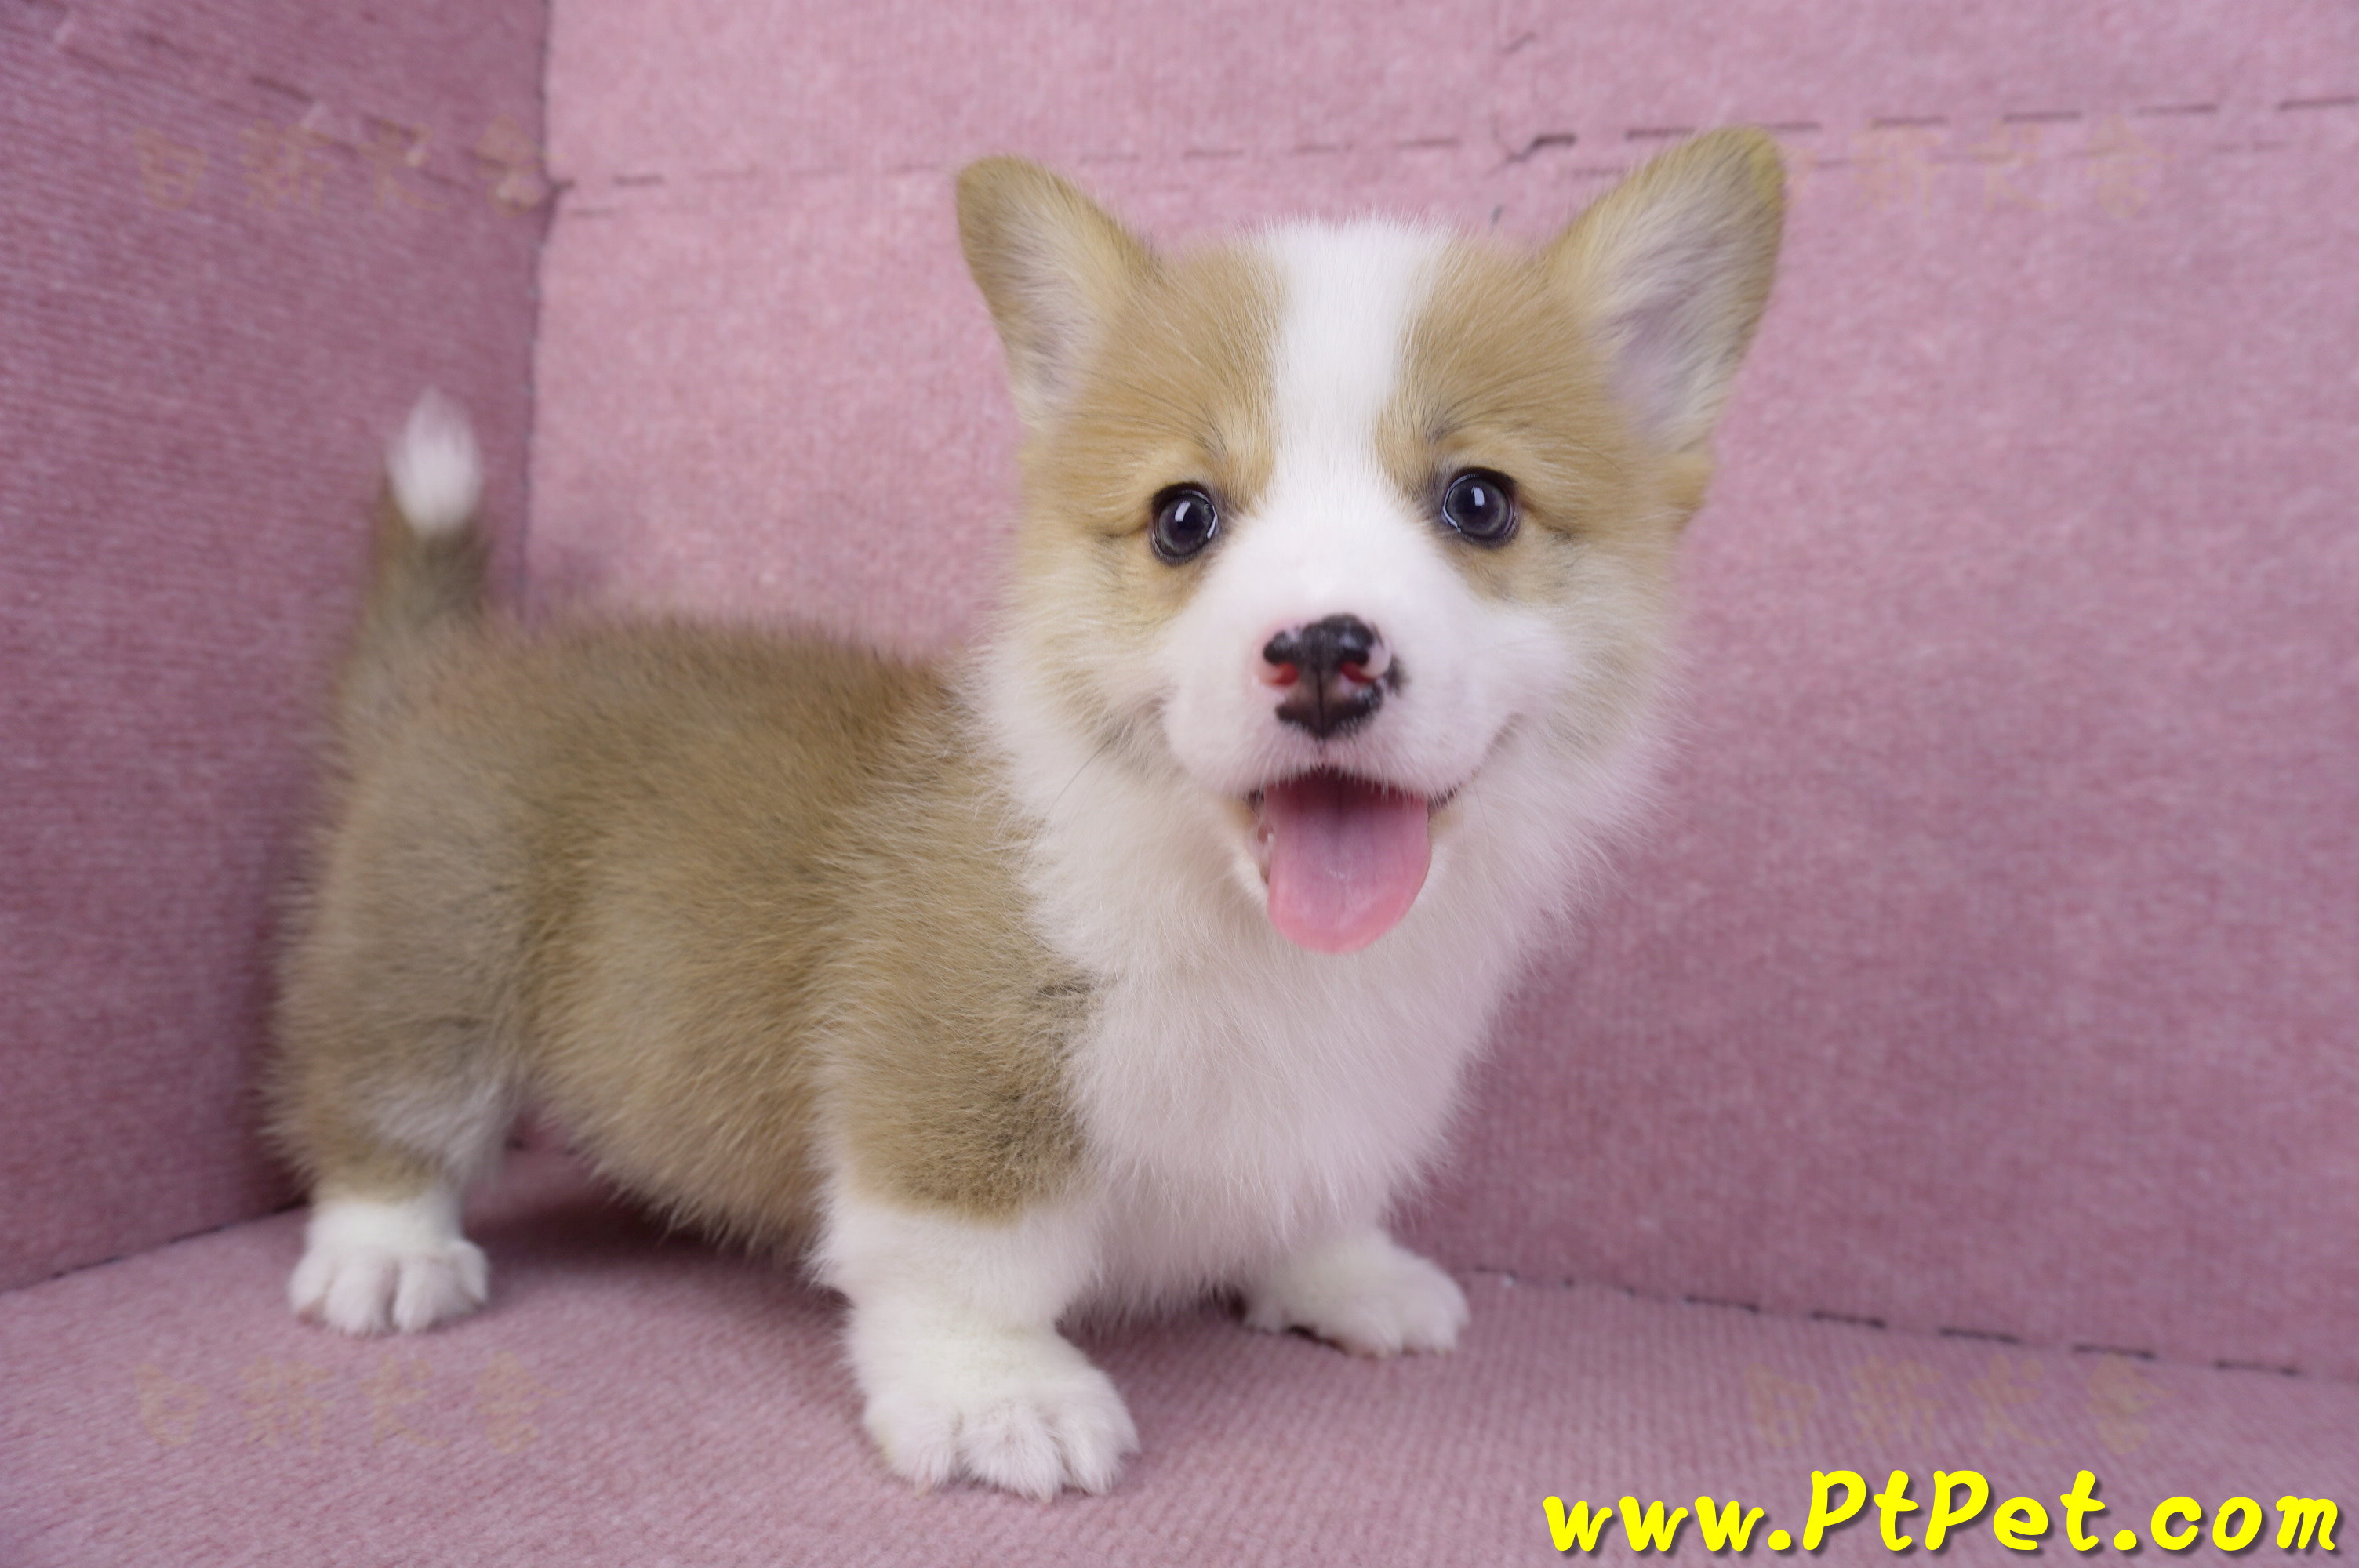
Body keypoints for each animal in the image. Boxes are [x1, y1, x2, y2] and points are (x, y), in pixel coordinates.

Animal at [270, 128, 1784, 1499]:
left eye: (1478, 503)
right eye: (1184, 518)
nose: (1322, 651)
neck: (1240, 924)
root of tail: (464, 673)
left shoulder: (1336, 1099)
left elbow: (1313, 1195)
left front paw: (1347, 1277)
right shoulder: (956, 1071)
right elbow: (963, 1259)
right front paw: (998, 1399)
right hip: (434, 970)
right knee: (381, 1109)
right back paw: (386, 1255)